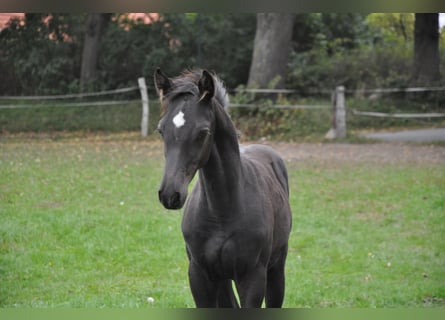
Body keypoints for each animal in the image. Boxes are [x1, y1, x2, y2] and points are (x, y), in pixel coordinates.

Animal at [153, 68, 292, 308]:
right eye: (161, 130)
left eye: (203, 132)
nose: (170, 194)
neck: (221, 212)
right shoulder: (199, 275)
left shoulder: (252, 277)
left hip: (276, 268)